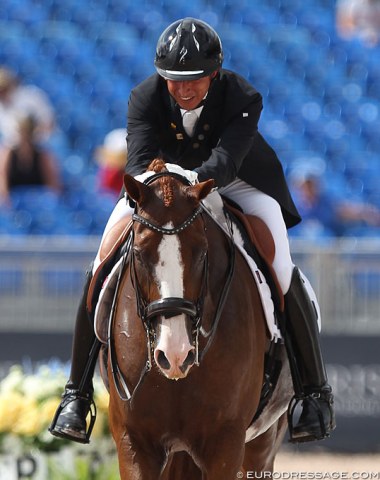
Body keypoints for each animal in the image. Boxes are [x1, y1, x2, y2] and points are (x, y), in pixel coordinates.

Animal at [104, 159, 290, 478]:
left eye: (203, 253)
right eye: (139, 254)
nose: (175, 355)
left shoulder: (225, 442)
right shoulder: (134, 443)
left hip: (261, 445)